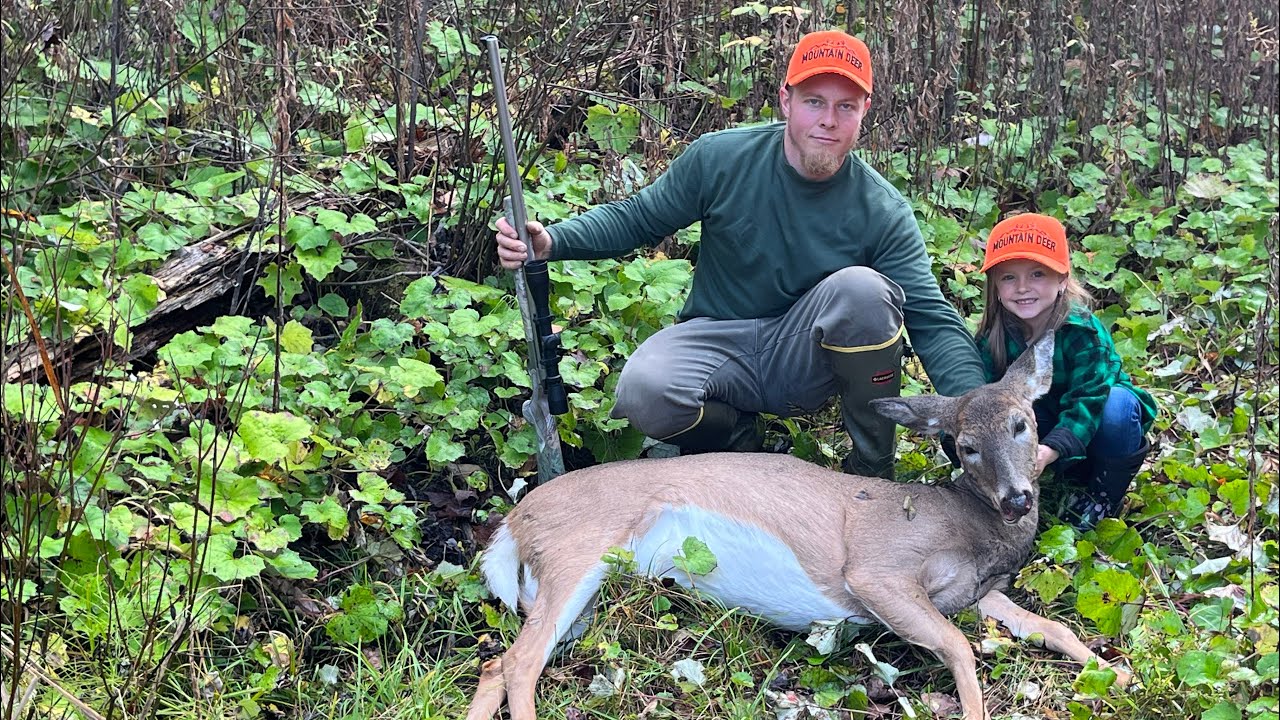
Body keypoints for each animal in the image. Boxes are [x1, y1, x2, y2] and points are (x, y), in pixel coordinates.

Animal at [464, 332, 1129, 720]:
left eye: (1023, 424)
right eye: (965, 446)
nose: (1017, 498)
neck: (969, 529)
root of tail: (514, 520)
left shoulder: (974, 592)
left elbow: (1049, 626)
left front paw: (1115, 672)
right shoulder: (875, 571)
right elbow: (960, 647)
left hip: (577, 593)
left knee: (498, 664)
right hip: (576, 552)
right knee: (519, 663)